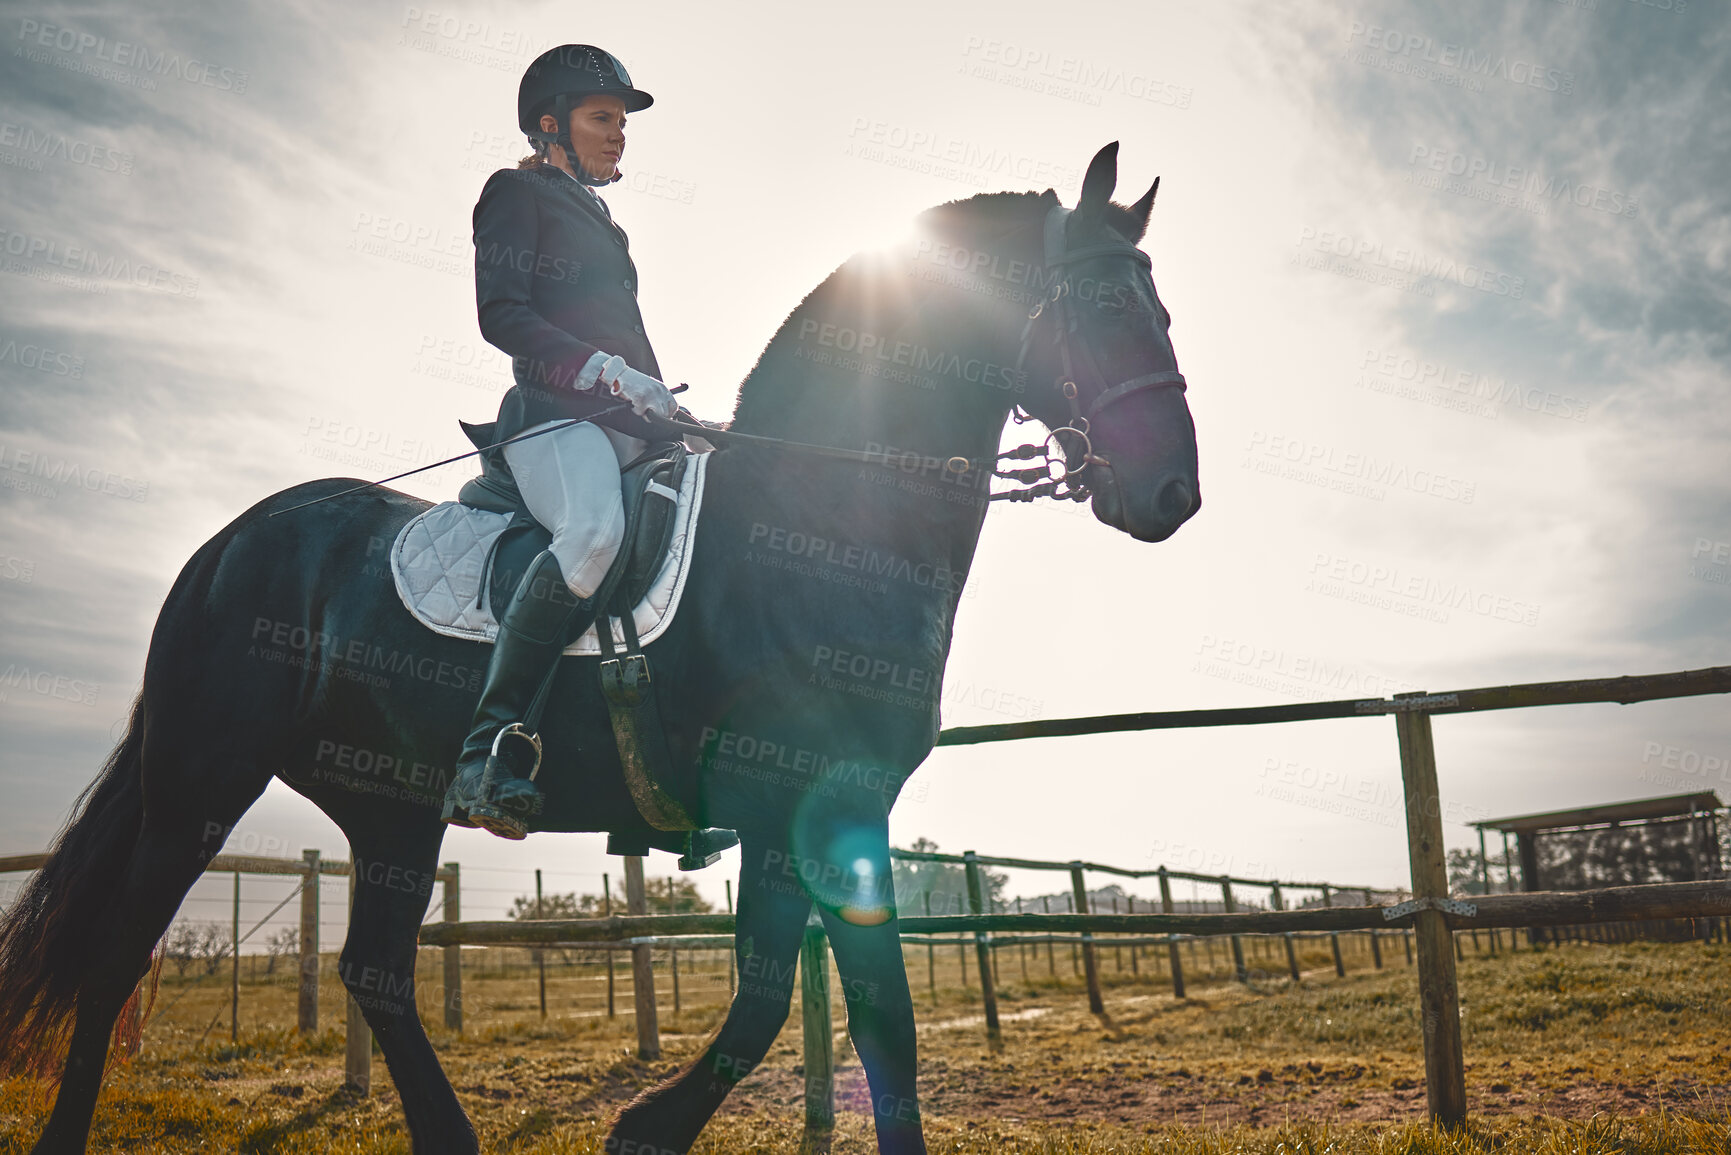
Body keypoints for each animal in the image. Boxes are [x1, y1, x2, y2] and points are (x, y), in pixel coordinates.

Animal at [0, 144, 1197, 1155]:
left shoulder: (817, 809)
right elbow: (821, 1005)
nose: (1171, 495)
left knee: (376, 970)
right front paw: (646, 1127)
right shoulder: (807, 801)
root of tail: (229, 542)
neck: (821, 523)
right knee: (119, 956)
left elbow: (827, 1008)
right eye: (1100, 302)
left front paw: (650, 1125)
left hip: (390, 799)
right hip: (201, 779)